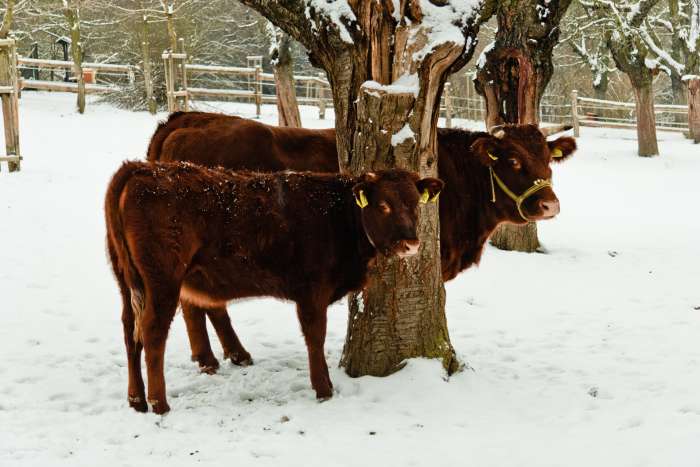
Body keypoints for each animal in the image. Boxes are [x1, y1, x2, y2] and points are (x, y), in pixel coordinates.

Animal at [104, 162, 442, 414]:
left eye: (415, 205)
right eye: (383, 205)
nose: (411, 243)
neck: (337, 214)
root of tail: (139, 168)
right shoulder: (312, 290)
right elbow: (315, 337)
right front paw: (324, 388)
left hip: (126, 281)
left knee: (130, 330)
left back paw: (136, 399)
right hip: (162, 281)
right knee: (152, 332)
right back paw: (159, 403)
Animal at [146, 112, 576, 372]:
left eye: (548, 160)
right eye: (514, 161)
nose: (550, 204)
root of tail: (191, 117)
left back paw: (221, 355)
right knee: (200, 304)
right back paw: (217, 356)